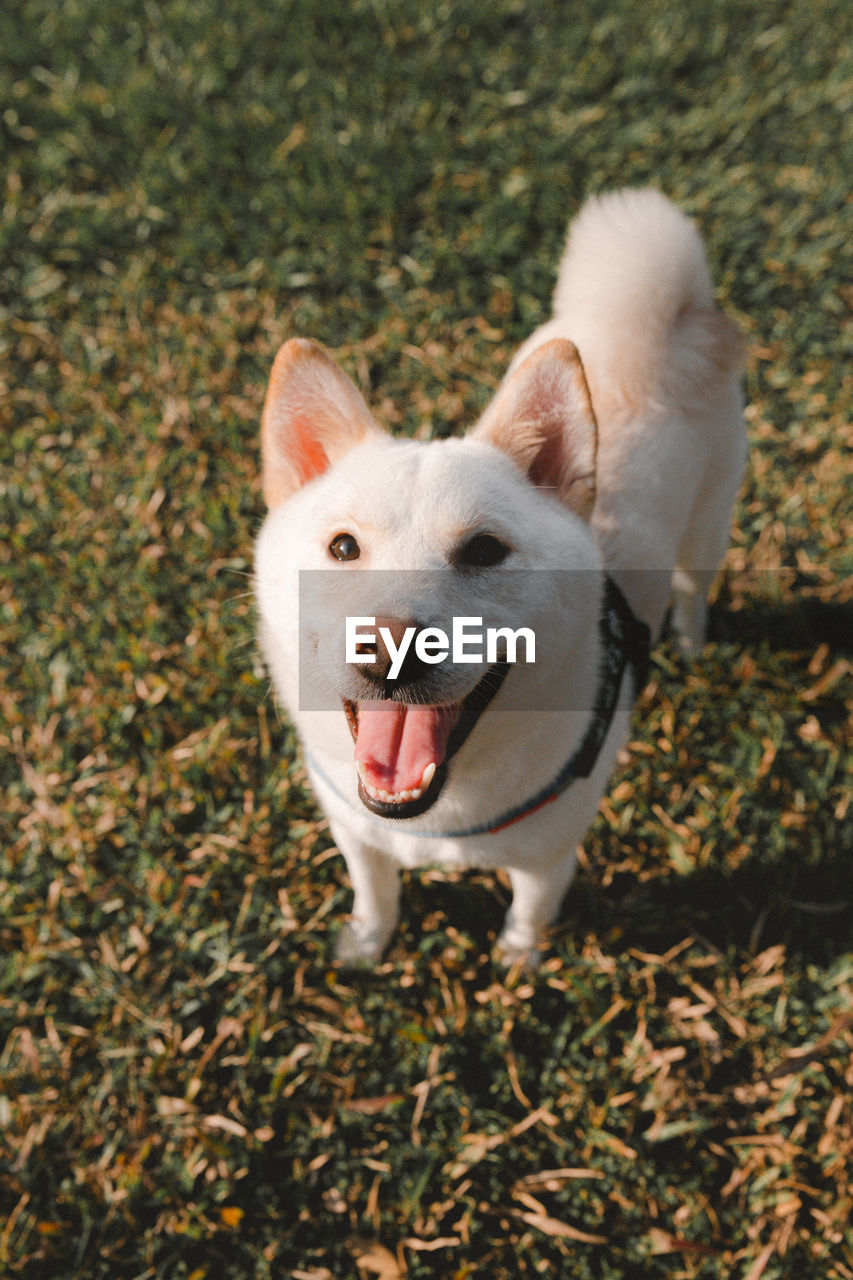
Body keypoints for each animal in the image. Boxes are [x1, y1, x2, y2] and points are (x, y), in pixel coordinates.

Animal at [253, 189, 742, 962]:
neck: (435, 820)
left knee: (694, 587)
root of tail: (669, 315)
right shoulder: (357, 833)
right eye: (342, 547)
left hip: (710, 522)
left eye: (484, 551)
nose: (386, 653)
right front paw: (366, 945)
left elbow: (528, 914)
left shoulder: (549, 858)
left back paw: (690, 642)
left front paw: (518, 961)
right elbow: (375, 892)